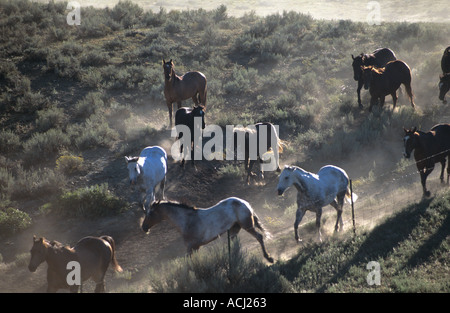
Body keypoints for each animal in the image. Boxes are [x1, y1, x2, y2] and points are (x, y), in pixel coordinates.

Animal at [142, 196, 274, 262]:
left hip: (247, 225)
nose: (144, 227)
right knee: (234, 244)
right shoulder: (196, 247)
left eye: (150, 213)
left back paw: (269, 258)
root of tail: (245, 203)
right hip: (234, 229)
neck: (186, 220)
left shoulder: (191, 247)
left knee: (259, 237)